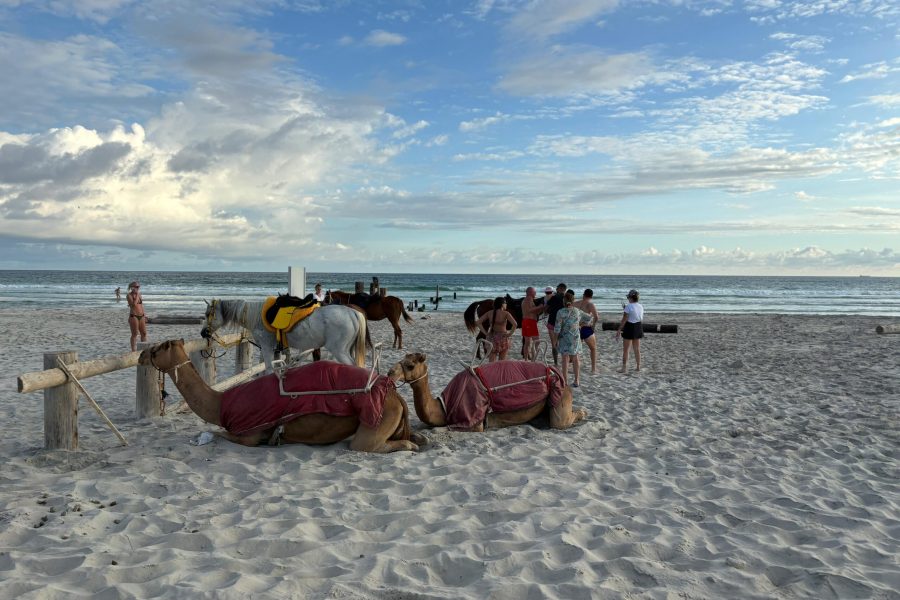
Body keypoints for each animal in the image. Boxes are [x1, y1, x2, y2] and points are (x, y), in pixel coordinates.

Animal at [139, 339, 424, 452]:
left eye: (158, 348)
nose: (142, 355)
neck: (221, 403)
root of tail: (392, 391)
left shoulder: (249, 435)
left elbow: (217, 432)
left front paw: (202, 437)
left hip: (375, 420)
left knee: (369, 445)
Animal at [388, 353, 588, 432]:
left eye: (410, 365)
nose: (390, 372)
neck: (444, 407)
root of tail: (557, 373)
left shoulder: (474, 422)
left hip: (559, 396)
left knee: (560, 421)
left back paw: (584, 412)